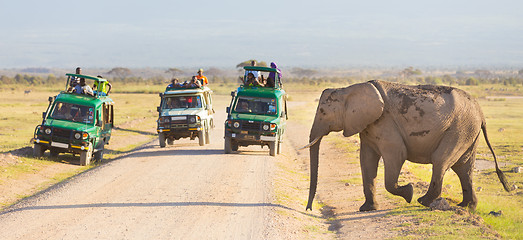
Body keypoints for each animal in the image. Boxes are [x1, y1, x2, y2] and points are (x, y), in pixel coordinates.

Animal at [302, 79, 512, 211]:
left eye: (322, 112)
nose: (309, 208)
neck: (348, 89)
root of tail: (481, 113)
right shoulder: (368, 126)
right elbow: (366, 161)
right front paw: (366, 209)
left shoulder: (385, 124)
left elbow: (397, 155)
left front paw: (409, 192)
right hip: (468, 131)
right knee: (463, 168)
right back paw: (466, 207)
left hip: (459, 129)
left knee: (441, 160)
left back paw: (423, 201)